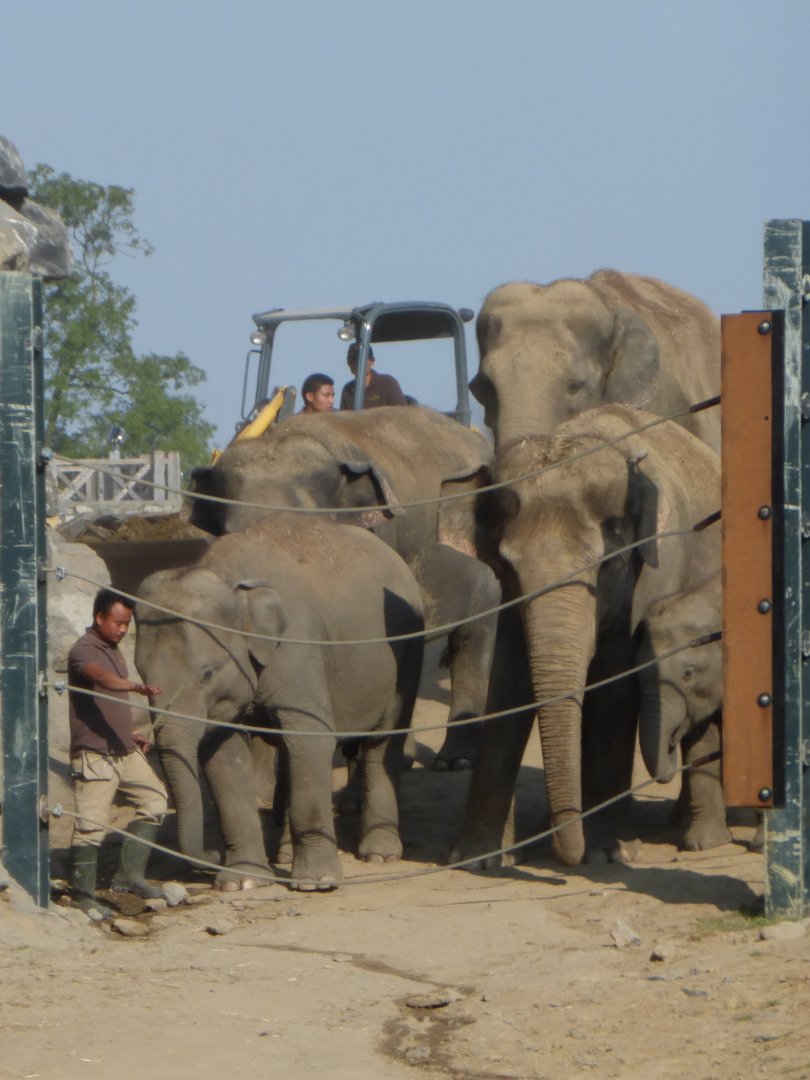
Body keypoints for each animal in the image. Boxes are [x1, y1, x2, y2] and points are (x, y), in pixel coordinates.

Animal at [133, 513, 424, 891]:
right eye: (140, 674)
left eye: (207, 674)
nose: (212, 855)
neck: (230, 580)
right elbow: (223, 757)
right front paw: (241, 882)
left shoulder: (299, 648)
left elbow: (311, 738)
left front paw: (317, 882)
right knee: (290, 754)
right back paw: (285, 853)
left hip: (407, 652)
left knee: (383, 739)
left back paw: (379, 854)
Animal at [438, 404, 721, 868]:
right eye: (506, 566)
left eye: (609, 564)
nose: (564, 854)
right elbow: (508, 685)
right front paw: (476, 858)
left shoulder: (652, 574)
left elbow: (615, 690)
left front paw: (608, 854)